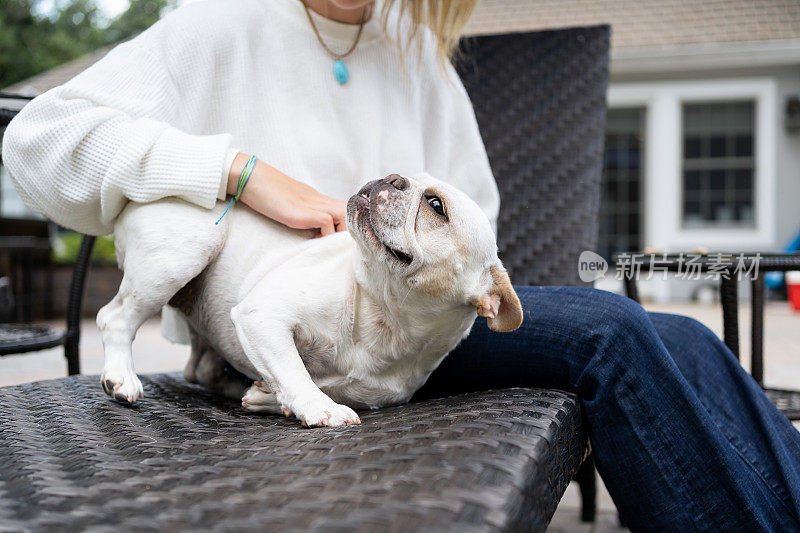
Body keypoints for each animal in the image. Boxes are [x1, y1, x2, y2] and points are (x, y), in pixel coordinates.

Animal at [98, 172, 524, 426]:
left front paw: (268, 396)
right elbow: (294, 371)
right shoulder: (262, 316)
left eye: (436, 206)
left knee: (199, 369)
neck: (385, 314)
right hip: (182, 255)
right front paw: (321, 408)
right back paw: (122, 377)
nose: (392, 177)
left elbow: (293, 379)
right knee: (115, 317)